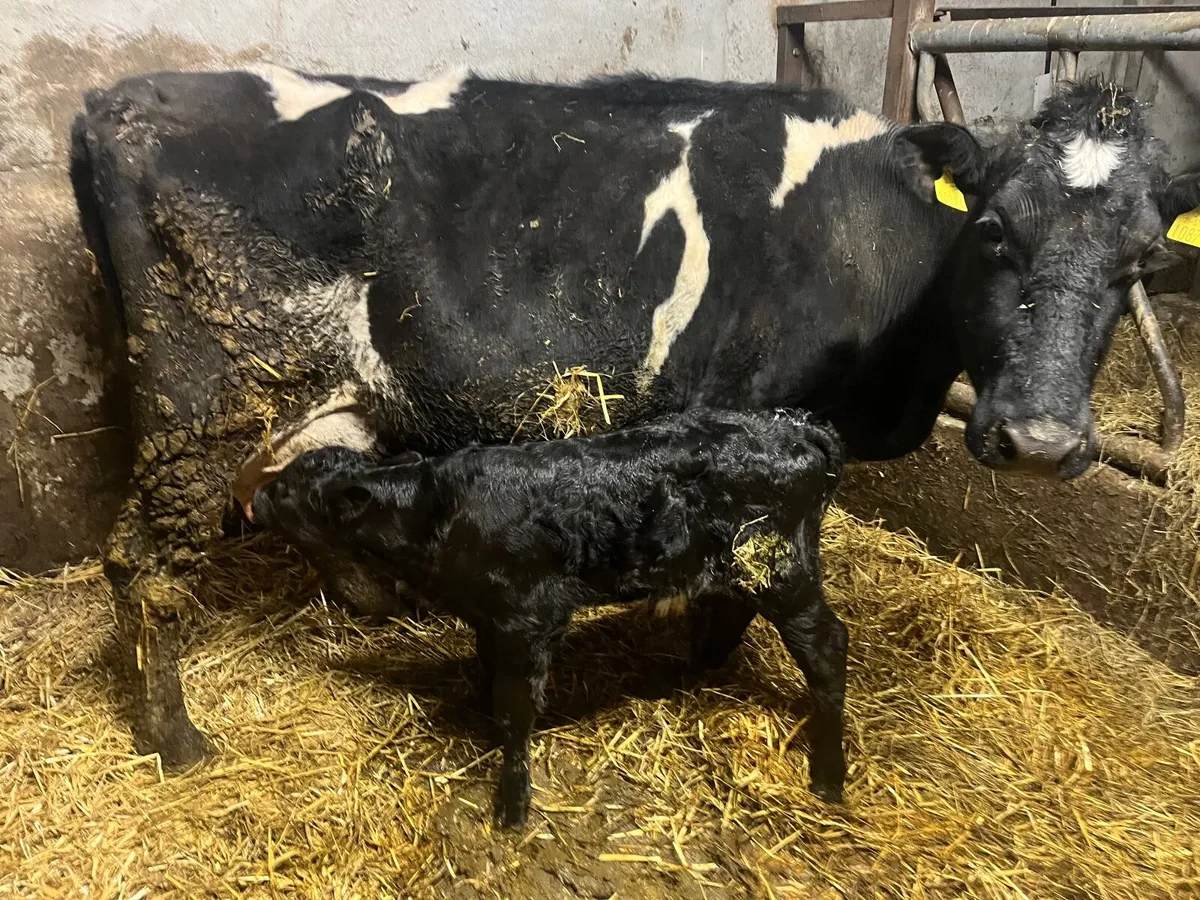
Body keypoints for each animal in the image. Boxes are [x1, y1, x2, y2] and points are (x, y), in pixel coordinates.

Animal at [69, 65, 1200, 769]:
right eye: (996, 230)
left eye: (1144, 258)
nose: (1042, 442)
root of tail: (114, 102)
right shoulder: (756, 422)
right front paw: (702, 654)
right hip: (201, 402)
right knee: (142, 560)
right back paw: (176, 740)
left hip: (319, 394)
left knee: (293, 492)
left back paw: (370, 601)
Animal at [252, 408, 844, 826]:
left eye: (284, 489)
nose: (255, 498)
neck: (436, 514)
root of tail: (798, 430)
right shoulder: (490, 617)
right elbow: (487, 674)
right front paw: (481, 719)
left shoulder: (529, 618)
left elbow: (516, 706)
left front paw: (512, 803)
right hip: (736, 568)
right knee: (732, 611)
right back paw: (695, 669)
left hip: (781, 568)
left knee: (828, 646)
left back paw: (829, 775)